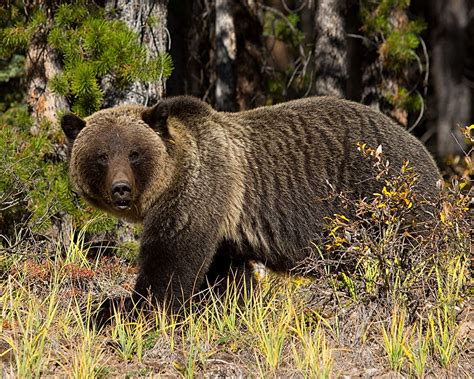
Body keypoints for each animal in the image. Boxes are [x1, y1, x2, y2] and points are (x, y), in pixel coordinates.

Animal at [61, 96, 442, 310]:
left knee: (417, 256)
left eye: (134, 153)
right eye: (101, 156)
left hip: (388, 197)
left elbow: (169, 268)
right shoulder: (226, 231)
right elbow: (226, 279)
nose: (121, 189)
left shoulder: (199, 194)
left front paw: (118, 309)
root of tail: (422, 148)